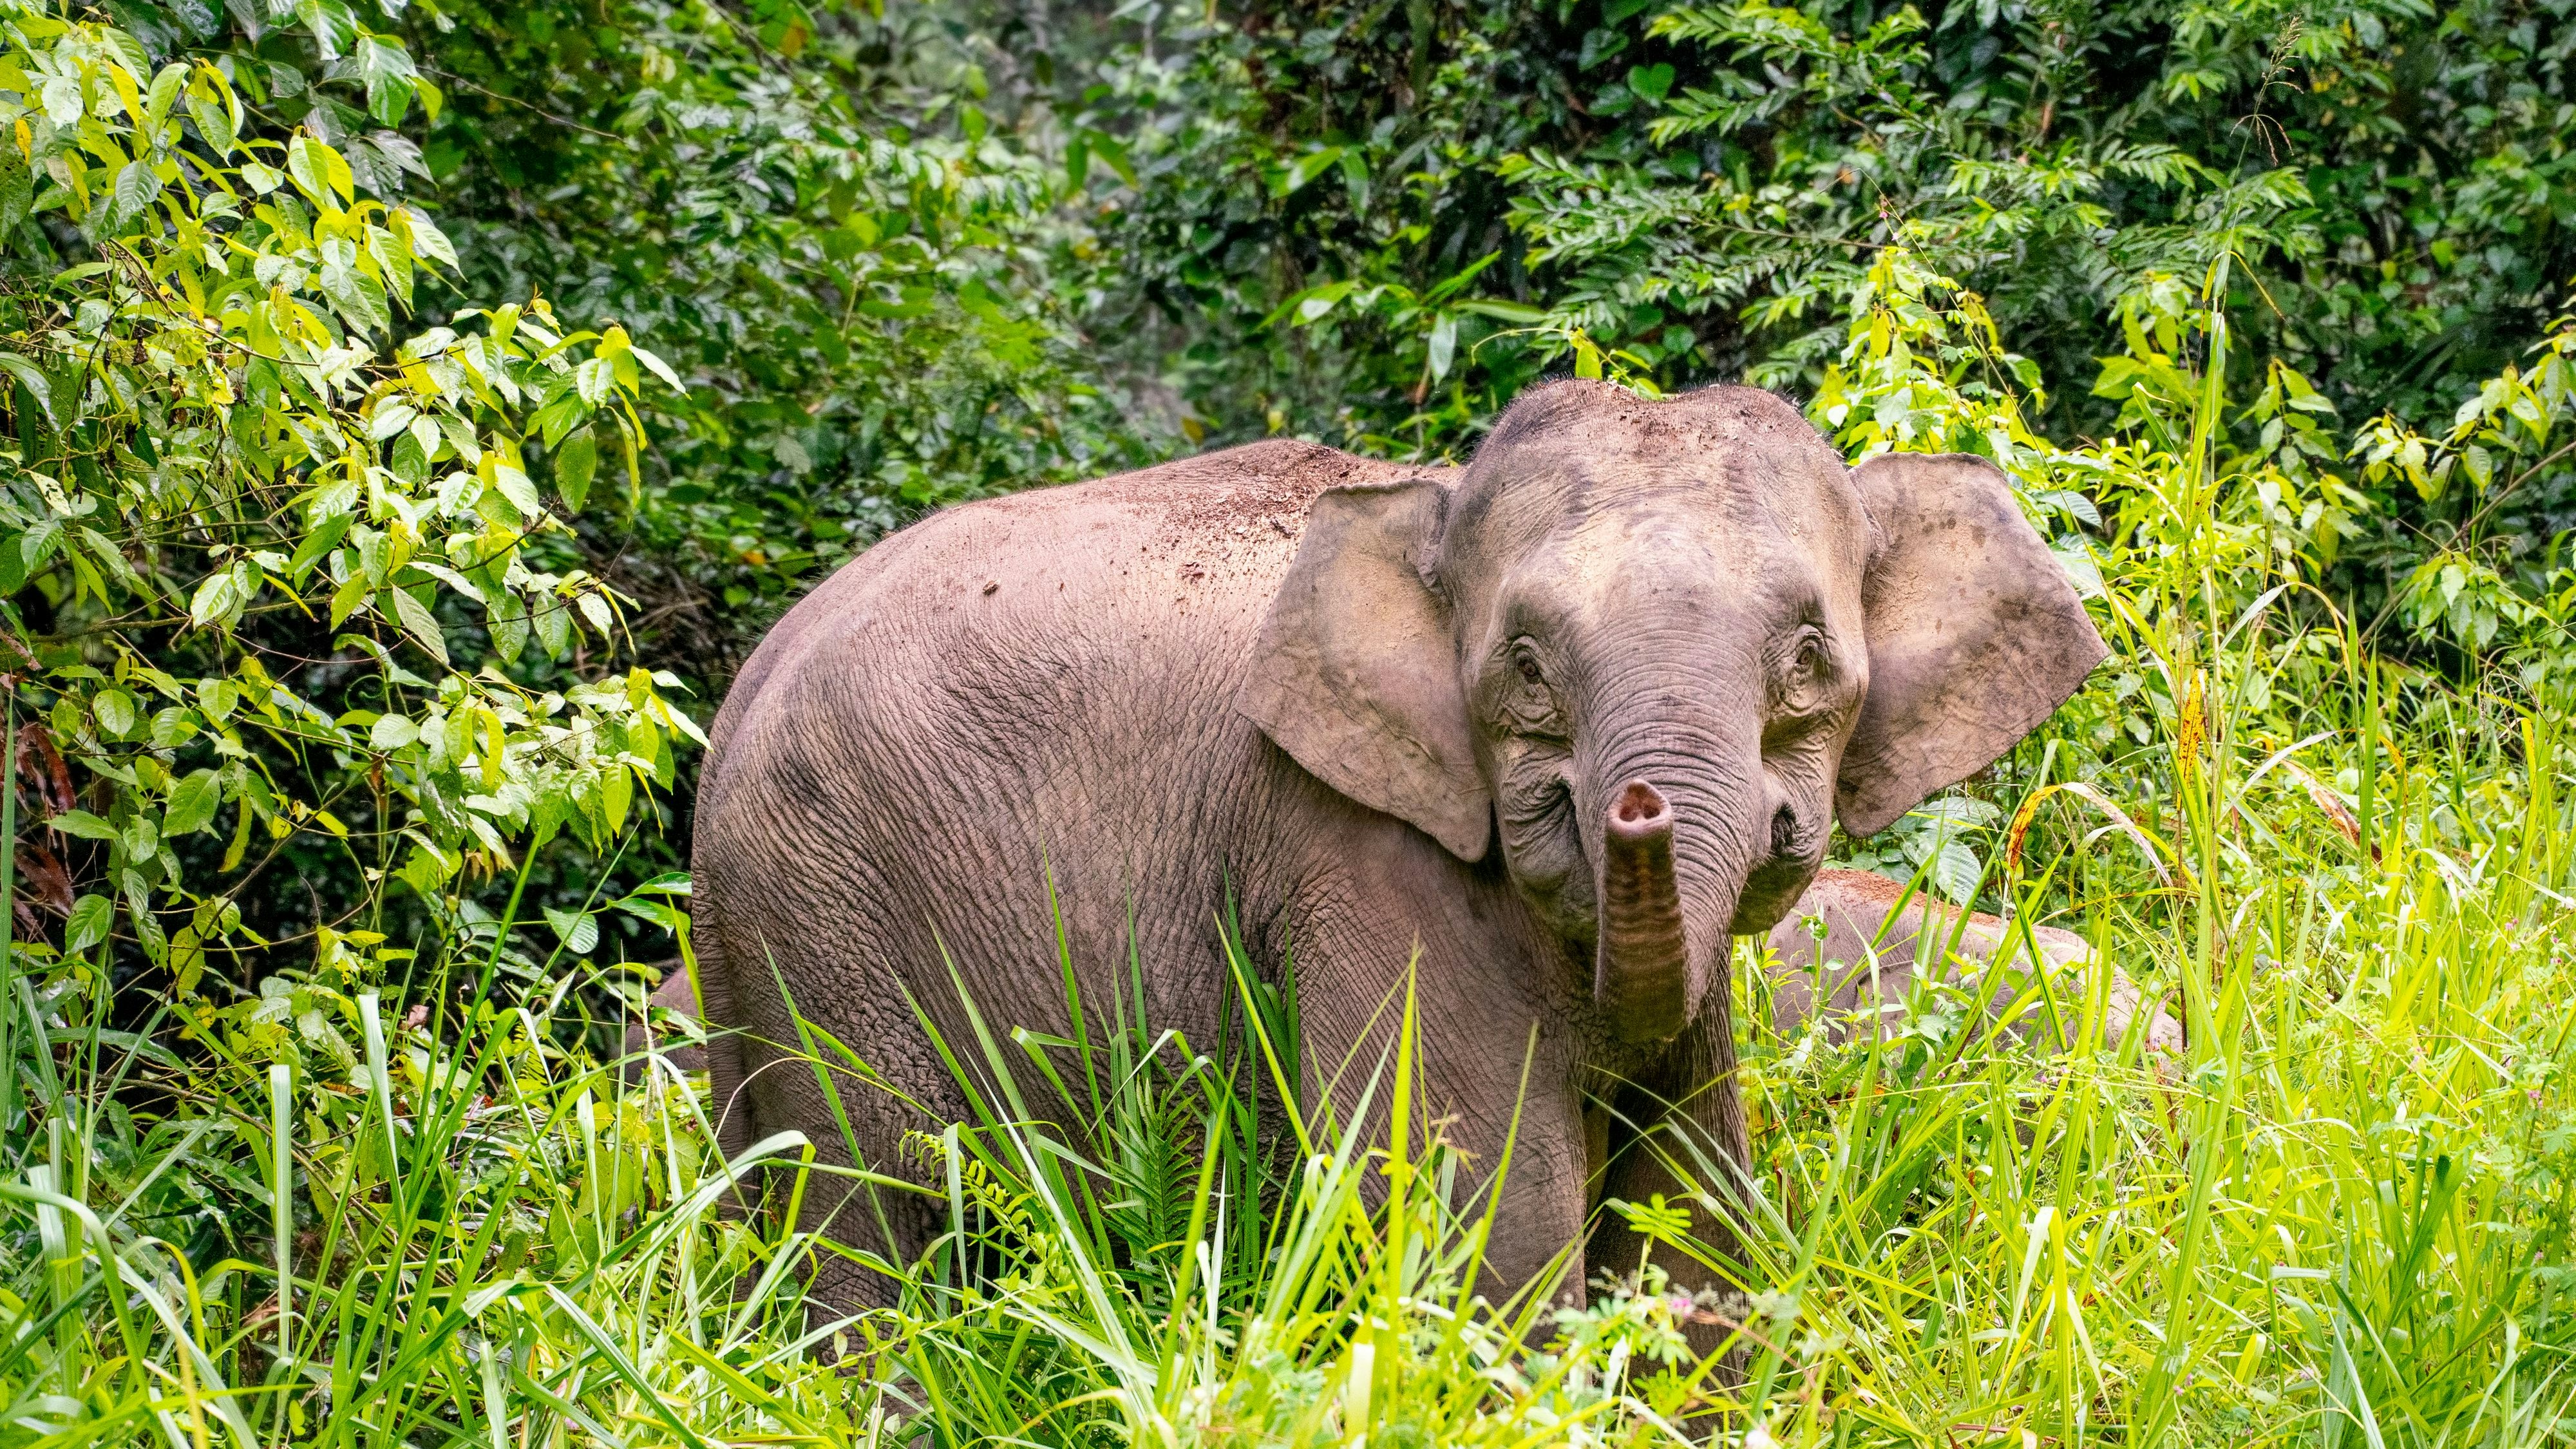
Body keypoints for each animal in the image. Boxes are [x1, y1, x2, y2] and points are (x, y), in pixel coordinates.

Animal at [683, 380, 2107, 1315]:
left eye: (1809, 660)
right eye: (1524, 670)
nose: (1636, 809)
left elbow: (1691, 1205)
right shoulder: (1356, 849)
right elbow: (1483, 1214)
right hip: (817, 922)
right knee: (869, 1226)